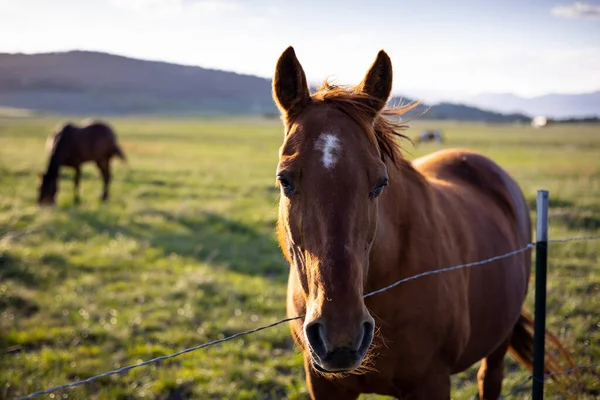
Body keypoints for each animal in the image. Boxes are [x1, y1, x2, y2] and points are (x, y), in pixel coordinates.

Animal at [272, 47, 572, 400]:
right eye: (284, 180)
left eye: (380, 183)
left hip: (498, 342)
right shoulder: (324, 384)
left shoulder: (432, 382)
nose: (340, 334)